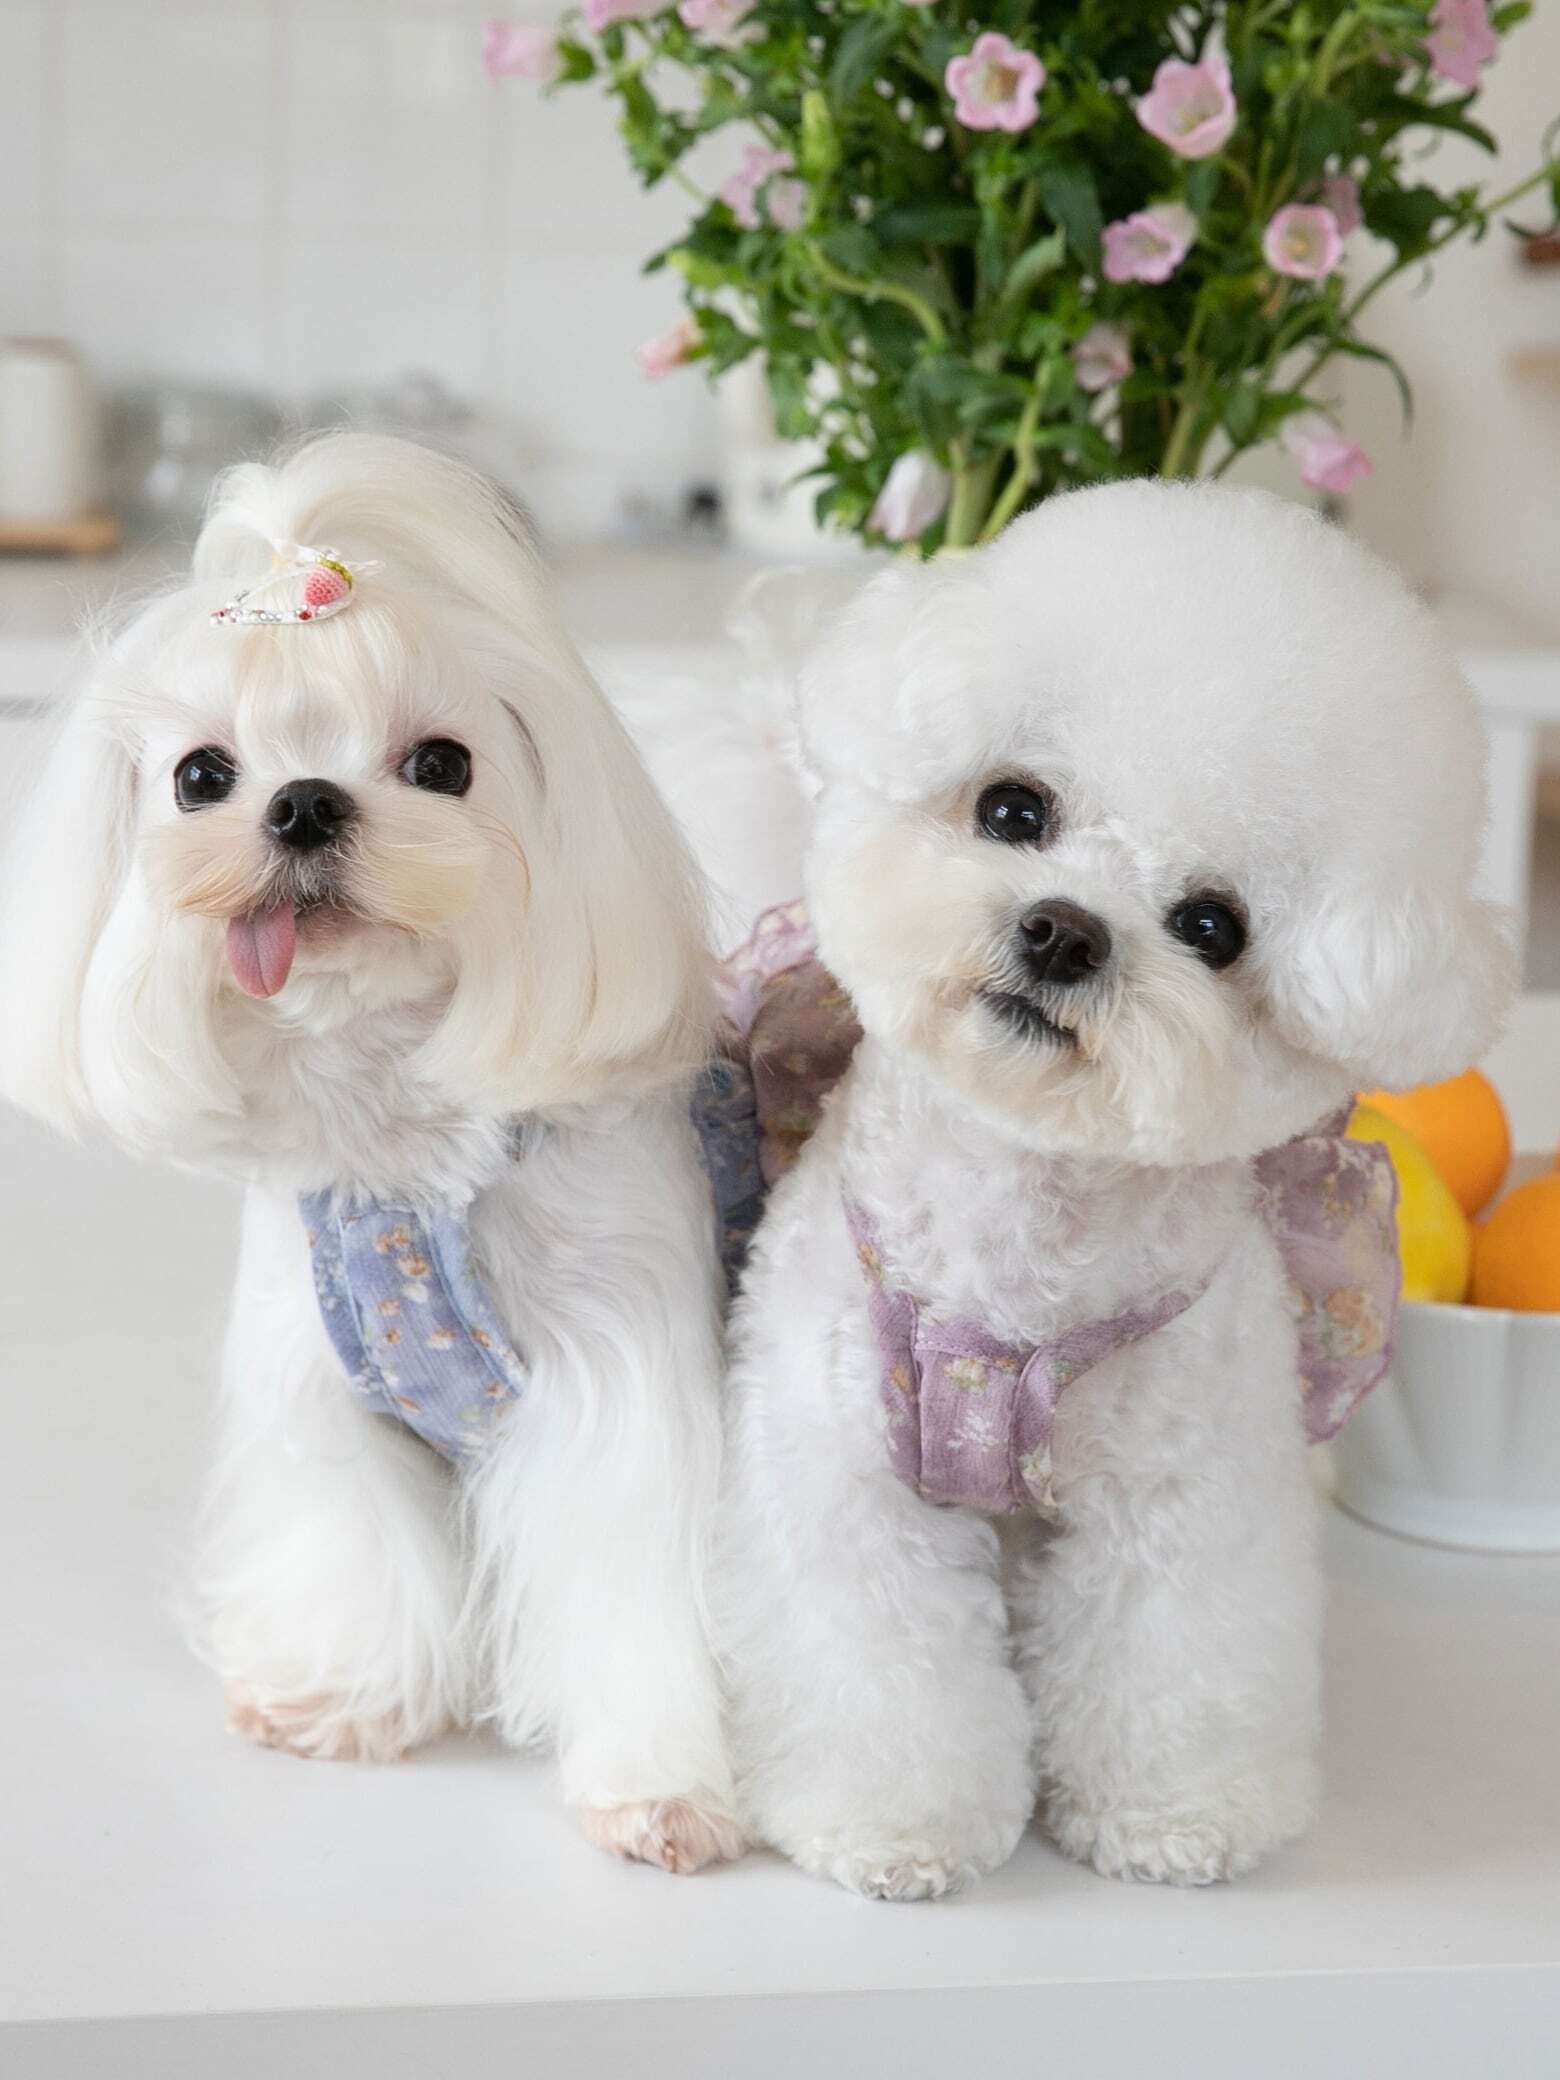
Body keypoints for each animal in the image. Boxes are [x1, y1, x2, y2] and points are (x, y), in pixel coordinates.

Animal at [0, 433, 741, 1874]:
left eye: (444, 763)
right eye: (201, 776)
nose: (301, 804)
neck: (405, 1154)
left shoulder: (624, 1377)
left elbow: (637, 1573)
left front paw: (660, 1788)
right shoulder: (327, 1381)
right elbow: (354, 1537)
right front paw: (339, 1698)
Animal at [715, 480, 1514, 1900]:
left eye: (1212, 926)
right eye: (1013, 809)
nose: (1063, 930)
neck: (1017, 1219)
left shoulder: (1184, 1493)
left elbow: (1170, 1654)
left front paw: (1174, 1817)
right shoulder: (841, 1467)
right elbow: (871, 1655)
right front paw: (894, 1826)